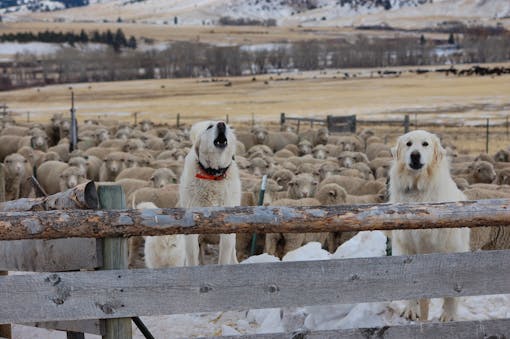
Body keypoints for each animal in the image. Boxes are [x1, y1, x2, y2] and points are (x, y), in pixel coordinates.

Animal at [390, 130, 470, 324]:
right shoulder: (407, 246)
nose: (415, 155)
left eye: (425, 144)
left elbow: (451, 289)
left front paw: (448, 315)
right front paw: (411, 310)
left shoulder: (449, 247)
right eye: (408, 144)